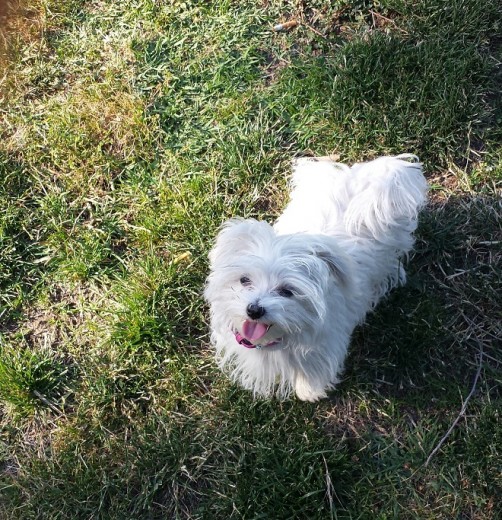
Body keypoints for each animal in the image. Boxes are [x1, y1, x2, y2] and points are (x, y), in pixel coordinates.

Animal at [205, 154, 428, 402]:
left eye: (287, 291)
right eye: (244, 280)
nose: (254, 310)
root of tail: (377, 176)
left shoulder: (324, 344)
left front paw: (309, 390)